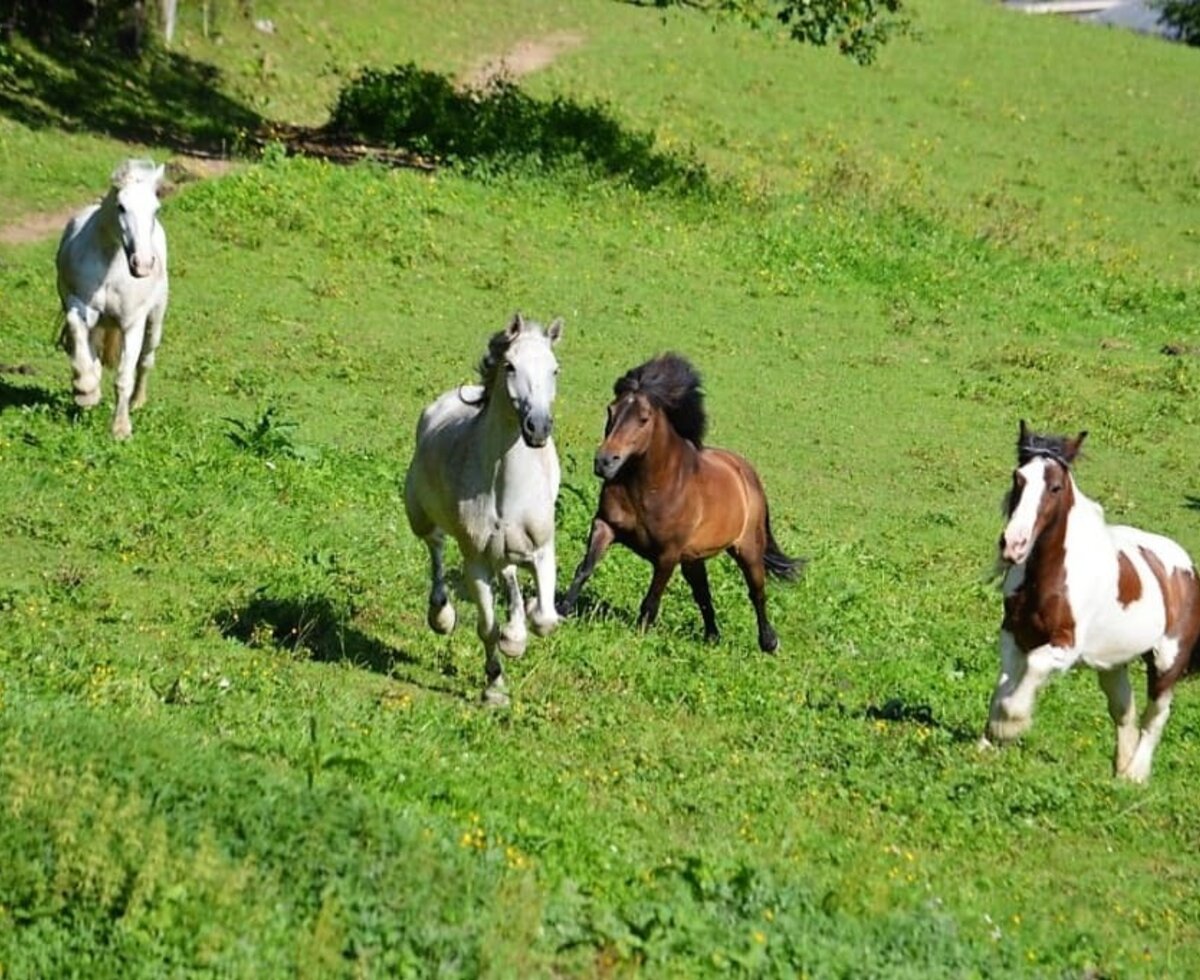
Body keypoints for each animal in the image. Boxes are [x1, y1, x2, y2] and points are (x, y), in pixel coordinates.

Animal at [57, 157, 169, 439]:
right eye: (121, 207)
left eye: (156, 209)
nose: (143, 264)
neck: (111, 264)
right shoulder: (78, 304)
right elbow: (76, 329)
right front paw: (85, 390)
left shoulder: (132, 324)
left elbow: (124, 378)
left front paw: (121, 429)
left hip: (155, 320)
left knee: (146, 361)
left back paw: (138, 402)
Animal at [405, 314, 564, 705]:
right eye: (510, 366)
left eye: (554, 369)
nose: (538, 428)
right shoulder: (475, 560)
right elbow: (488, 628)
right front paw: (495, 685)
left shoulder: (542, 551)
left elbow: (545, 618)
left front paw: (521, 628)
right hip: (420, 516)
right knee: (435, 546)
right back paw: (441, 615)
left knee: (508, 572)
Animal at [554, 352, 801, 647]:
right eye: (610, 410)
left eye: (644, 418)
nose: (604, 462)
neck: (650, 488)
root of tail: (747, 474)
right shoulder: (605, 525)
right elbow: (584, 569)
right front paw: (560, 613)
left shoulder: (667, 555)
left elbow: (651, 601)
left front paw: (639, 639)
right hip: (693, 558)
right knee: (704, 594)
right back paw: (712, 638)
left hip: (748, 548)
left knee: (757, 592)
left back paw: (769, 642)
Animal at [979, 419, 1200, 782]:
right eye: (1018, 477)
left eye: (1055, 487)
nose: (1013, 544)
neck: (1048, 577)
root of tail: (1186, 568)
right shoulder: (1013, 633)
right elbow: (1003, 685)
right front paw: (986, 744)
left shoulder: (1065, 646)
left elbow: (1030, 672)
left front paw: (1009, 728)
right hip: (1113, 663)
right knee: (1124, 709)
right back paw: (1120, 770)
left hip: (1167, 662)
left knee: (1155, 717)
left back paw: (1135, 775)